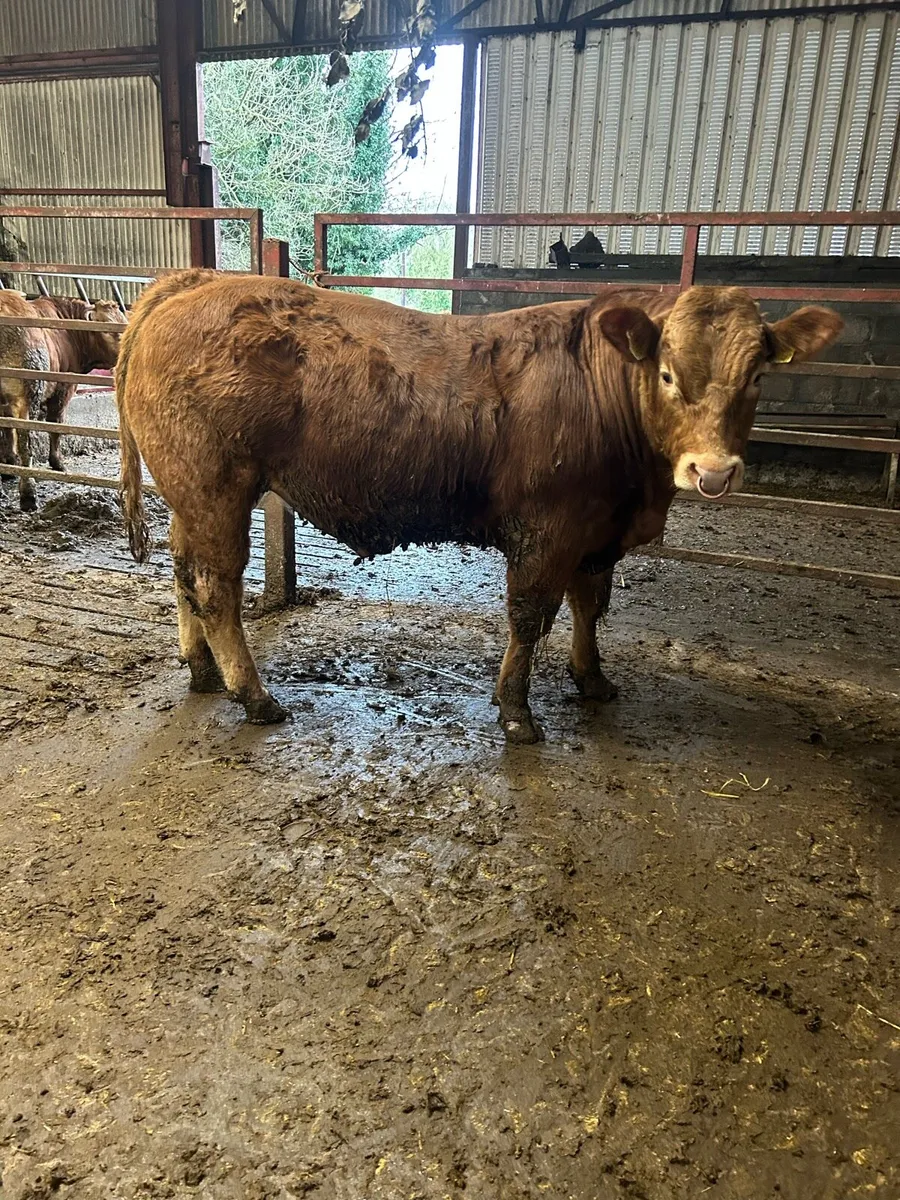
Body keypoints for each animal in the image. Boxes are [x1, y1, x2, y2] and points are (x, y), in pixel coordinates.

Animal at [0, 291, 125, 510]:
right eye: (109, 330)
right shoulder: (63, 388)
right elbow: (55, 425)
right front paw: (57, 462)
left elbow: (8, 431)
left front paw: (9, 463)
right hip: (29, 392)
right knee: (26, 441)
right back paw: (28, 495)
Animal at [116, 271, 841, 742]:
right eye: (666, 373)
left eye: (757, 376)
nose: (713, 471)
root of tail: (196, 281)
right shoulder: (548, 530)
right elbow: (529, 617)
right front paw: (517, 711)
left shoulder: (595, 532)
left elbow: (589, 607)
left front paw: (592, 679)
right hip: (217, 489)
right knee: (216, 588)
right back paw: (254, 695)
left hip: (190, 496)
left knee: (183, 576)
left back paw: (202, 671)